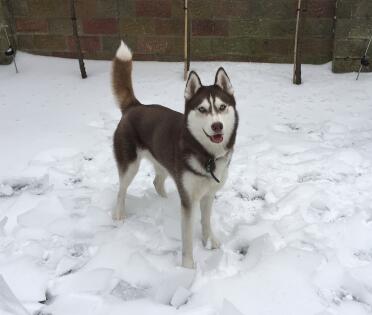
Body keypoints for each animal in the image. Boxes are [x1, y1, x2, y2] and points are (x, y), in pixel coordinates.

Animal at [112, 40, 238, 270]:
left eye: (222, 107)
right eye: (202, 109)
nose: (217, 126)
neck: (207, 155)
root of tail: (135, 106)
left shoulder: (208, 194)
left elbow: (206, 221)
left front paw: (209, 241)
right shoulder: (188, 200)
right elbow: (187, 237)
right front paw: (187, 266)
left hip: (163, 162)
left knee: (157, 182)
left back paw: (164, 201)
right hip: (130, 165)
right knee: (121, 190)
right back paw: (119, 215)